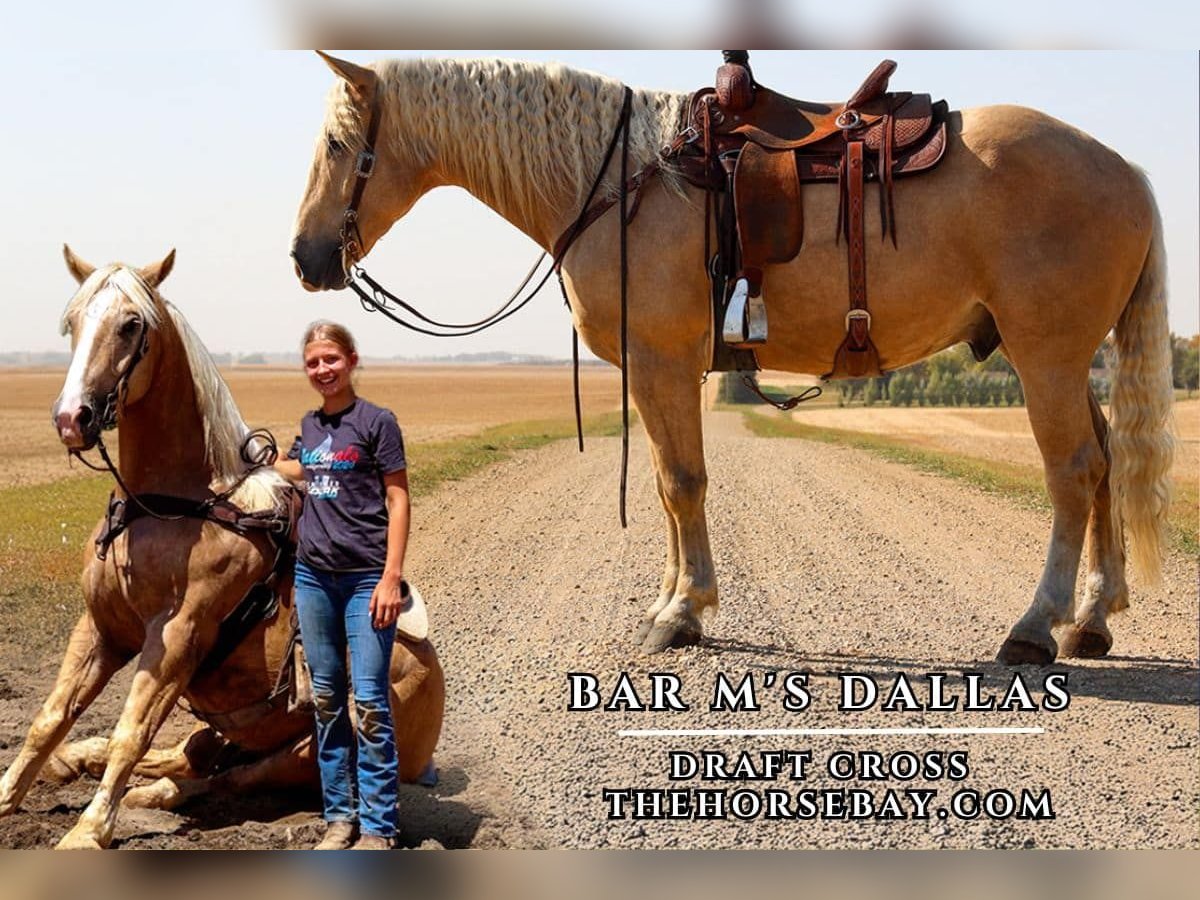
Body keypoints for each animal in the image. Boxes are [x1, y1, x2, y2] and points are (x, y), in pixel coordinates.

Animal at [0, 248, 444, 854]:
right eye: (73, 322)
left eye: (131, 324)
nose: (73, 417)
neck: (170, 508)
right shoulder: (99, 629)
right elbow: (51, 718)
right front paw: (11, 793)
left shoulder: (178, 637)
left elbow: (132, 730)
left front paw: (87, 833)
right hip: (220, 729)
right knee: (187, 758)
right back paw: (81, 762)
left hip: (304, 750)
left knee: (218, 778)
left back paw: (140, 791)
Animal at [290, 52, 1171, 667]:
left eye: (336, 142)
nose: (305, 257)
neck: (620, 181)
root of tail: (1125, 168)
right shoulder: (656, 371)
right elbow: (663, 484)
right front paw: (668, 602)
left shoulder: (662, 361)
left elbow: (683, 483)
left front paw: (684, 613)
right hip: (1066, 361)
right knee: (1104, 463)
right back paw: (1092, 619)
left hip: (1045, 356)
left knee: (1074, 471)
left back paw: (1035, 628)